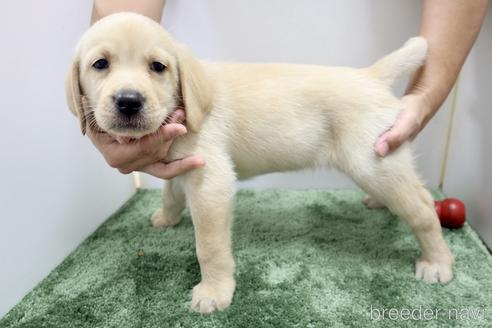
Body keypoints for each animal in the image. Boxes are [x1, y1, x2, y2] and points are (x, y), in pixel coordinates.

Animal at [65, 12, 454, 314]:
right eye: (100, 64)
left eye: (157, 67)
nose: (128, 101)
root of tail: (368, 76)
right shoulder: (178, 161)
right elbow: (171, 193)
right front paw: (166, 218)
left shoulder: (211, 180)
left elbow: (209, 246)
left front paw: (215, 292)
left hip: (372, 163)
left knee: (423, 208)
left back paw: (437, 262)